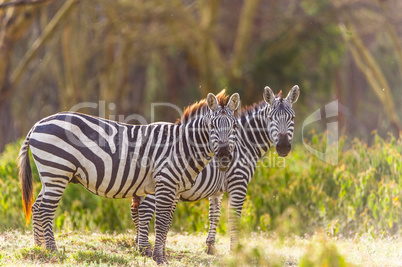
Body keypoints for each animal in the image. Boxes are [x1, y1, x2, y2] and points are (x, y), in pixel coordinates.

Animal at [18, 92, 239, 266]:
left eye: (234, 126)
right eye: (211, 126)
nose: (224, 156)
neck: (183, 146)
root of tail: (37, 124)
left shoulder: (175, 188)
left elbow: (166, 222)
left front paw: (160, 255)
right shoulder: (166, 183)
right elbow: (161, 221)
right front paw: (159, 258)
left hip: (49, 175)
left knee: (37, 207)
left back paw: (39, 248)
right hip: (57, 170)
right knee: (46, 209)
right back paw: (53, 251)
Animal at [130, 85, 300, 255]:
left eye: (292, 118)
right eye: (271, 118)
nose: (283, 147)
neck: (244, 143)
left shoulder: (217, 190)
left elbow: (215, 215)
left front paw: (210, 246)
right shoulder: (238, 182)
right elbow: (234, 217)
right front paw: (235, 251)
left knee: (135, 210)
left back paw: (139, 244)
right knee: (144, 210)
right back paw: (144, 248)